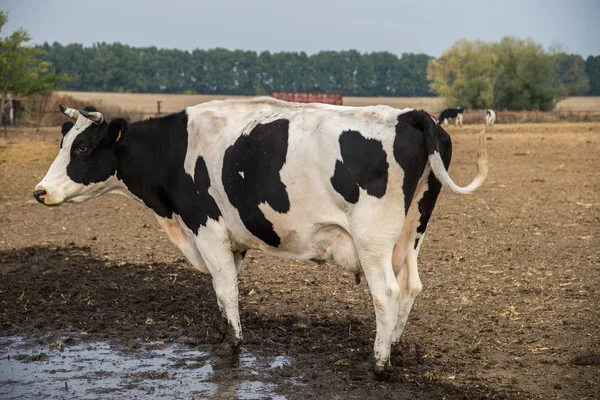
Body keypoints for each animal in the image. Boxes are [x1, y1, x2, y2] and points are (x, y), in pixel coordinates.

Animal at [34, 98, 488, 376]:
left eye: (82, 149)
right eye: (63, 143)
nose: (40, 191)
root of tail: (410, 114)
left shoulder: (207, 228)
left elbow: (226, 289)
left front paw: (233, 345)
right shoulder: (231, 240)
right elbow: (225, 292)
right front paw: (224, 334)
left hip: (373, 240)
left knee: (387, 293)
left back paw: (379, 363)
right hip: (411, 232)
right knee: (410, 287)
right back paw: (393, 345)